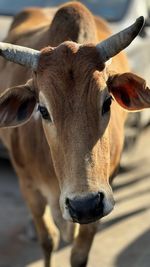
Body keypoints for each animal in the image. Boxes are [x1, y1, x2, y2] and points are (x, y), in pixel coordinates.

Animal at [0, 1, 150, 266]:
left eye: (107, 102)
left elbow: (79, 255)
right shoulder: (29, 188)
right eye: (43, 110)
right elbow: (48, 240)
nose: (85, 205)